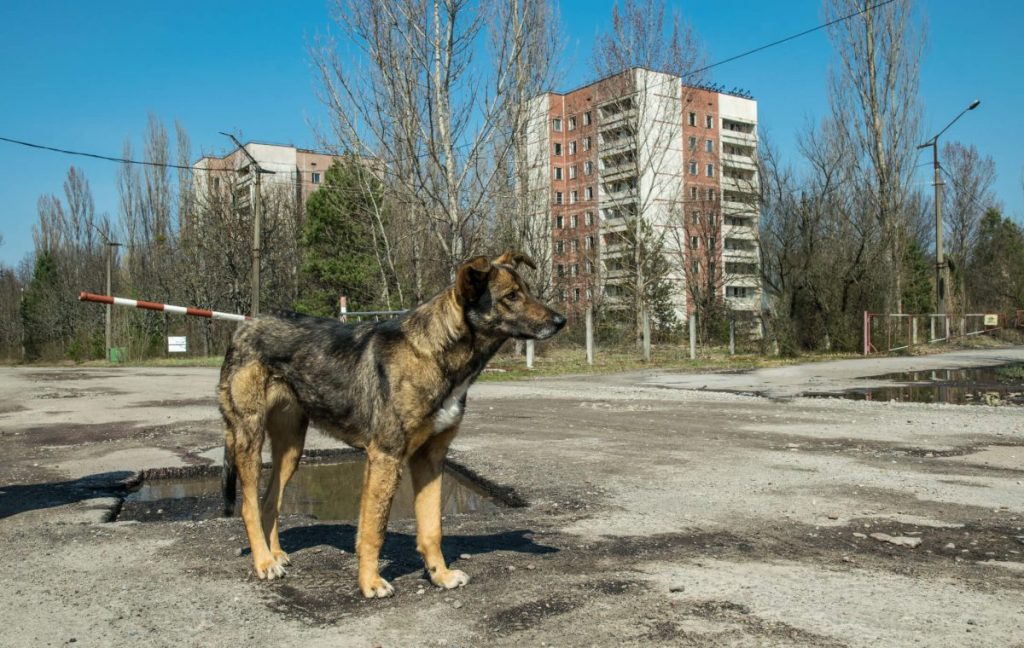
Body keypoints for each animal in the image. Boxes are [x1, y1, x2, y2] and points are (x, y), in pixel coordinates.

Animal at [218, 251, 569, 597]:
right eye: (511, 296)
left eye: (528, 290)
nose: (561, 321)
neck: (435, 353)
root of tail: (244, 328)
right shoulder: (386, 457)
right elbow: (374, 529)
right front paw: (369, 583)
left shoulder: (430, 459)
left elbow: (432, 527)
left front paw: (440, 575)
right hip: (249, 438)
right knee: (249, 506)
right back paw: (264, 562)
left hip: (291, 448)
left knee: (270, 501)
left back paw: (274, 553)